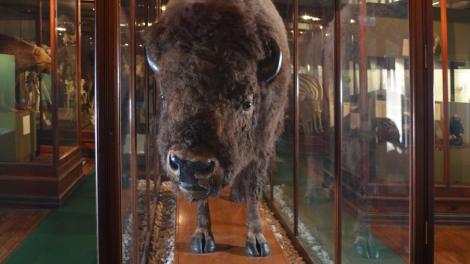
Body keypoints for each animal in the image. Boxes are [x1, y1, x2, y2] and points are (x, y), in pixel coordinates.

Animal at [145, 0, 288, 256]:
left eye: (246, 102)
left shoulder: (261, 149)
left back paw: (238, 196)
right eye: (164, 96)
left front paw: (257, 241)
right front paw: (202, 237)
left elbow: (254, 188)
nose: (189, 164)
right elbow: (201, 200)